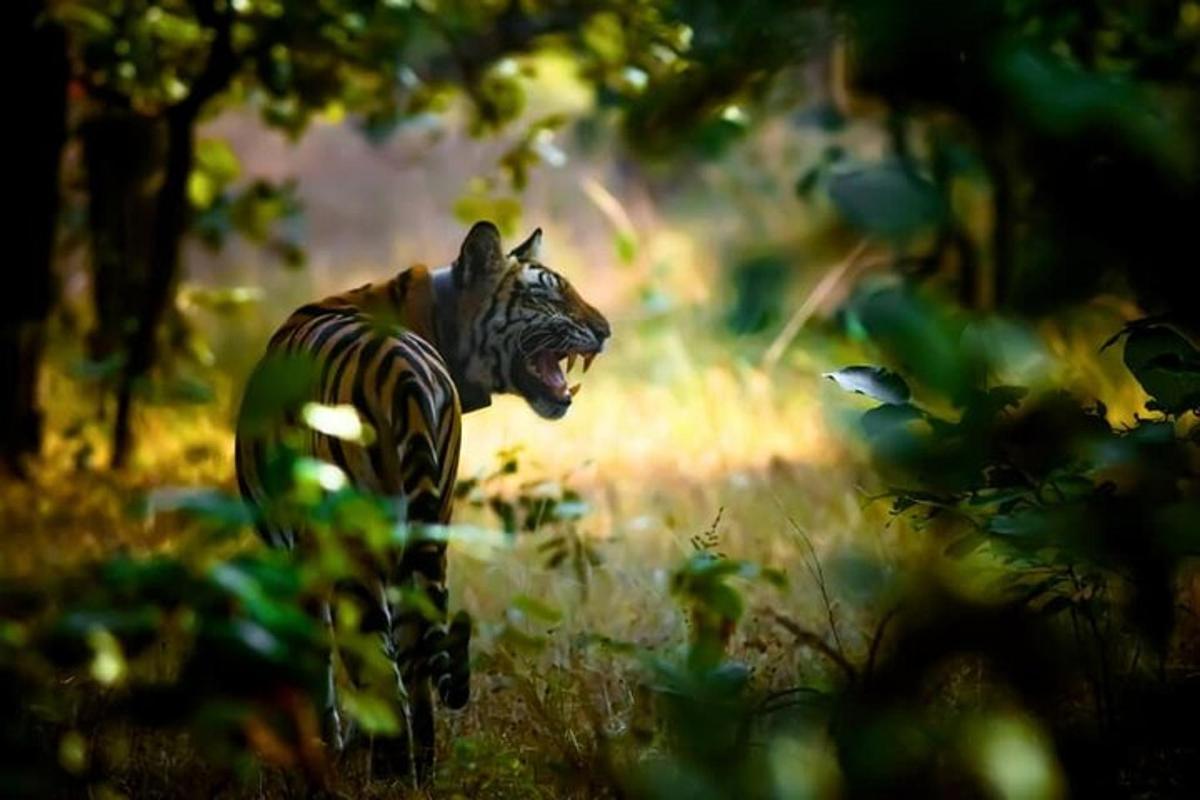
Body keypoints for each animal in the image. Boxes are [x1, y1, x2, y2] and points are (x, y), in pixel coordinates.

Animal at [234, 221, 610, 783]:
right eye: (546, 295)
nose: (606, 330)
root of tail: (403, 371)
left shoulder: (301, 557)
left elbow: (317, 664)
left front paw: (324, 757)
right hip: (426, 526)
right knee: (414, 667)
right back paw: (417, 776)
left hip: (356, 544)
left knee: (380, 670)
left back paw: (384, 775)